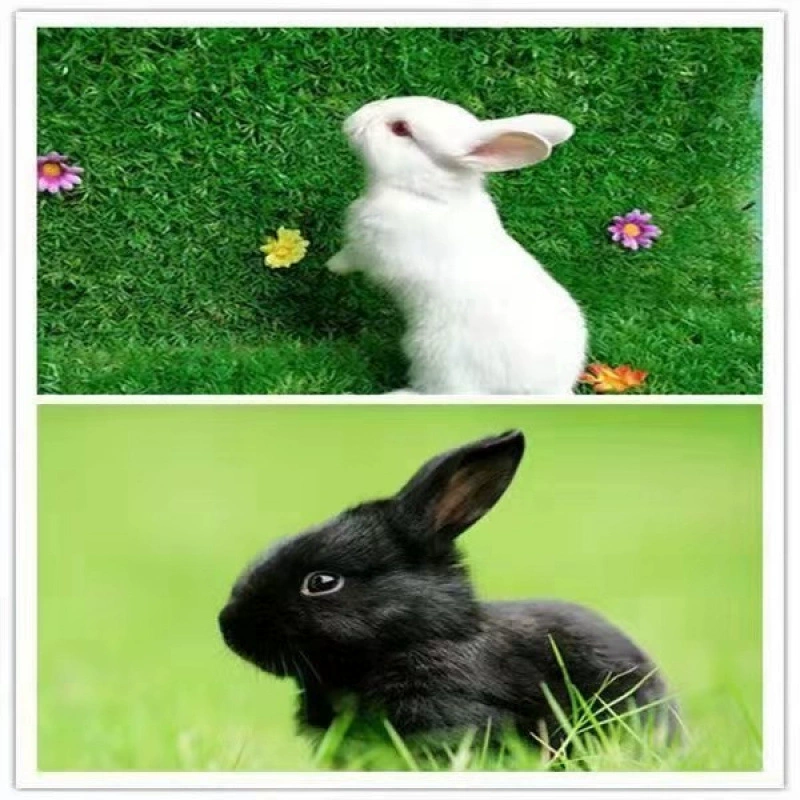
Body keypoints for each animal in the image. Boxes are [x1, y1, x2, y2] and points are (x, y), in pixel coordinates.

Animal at [326, 97, 587, 395]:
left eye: (401, 128)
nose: (352, 121)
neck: (427, 195)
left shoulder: (373, 250)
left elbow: (351, 257)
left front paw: (331, 266)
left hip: (437, 360)